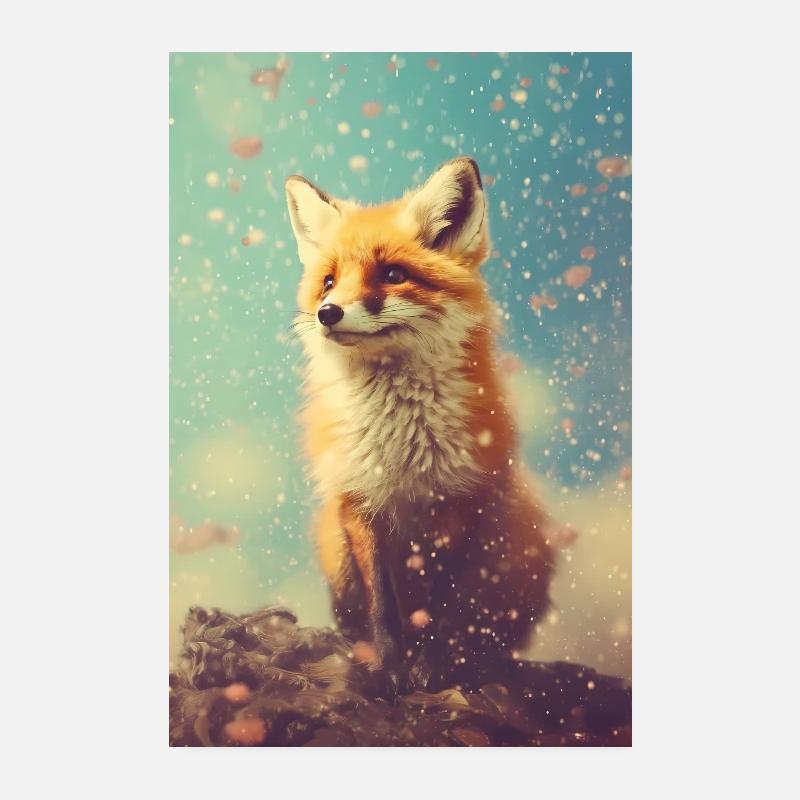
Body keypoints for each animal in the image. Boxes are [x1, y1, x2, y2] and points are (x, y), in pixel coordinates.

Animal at [285, 156, 554, 695]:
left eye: (393, 274)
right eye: (329, 282)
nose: (327, 313)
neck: (400, 443)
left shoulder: (460, 501)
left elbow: (442, 601)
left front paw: (431, 668)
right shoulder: (356, 502)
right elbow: (382, 607)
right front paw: (389, 669)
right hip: (331, 542)